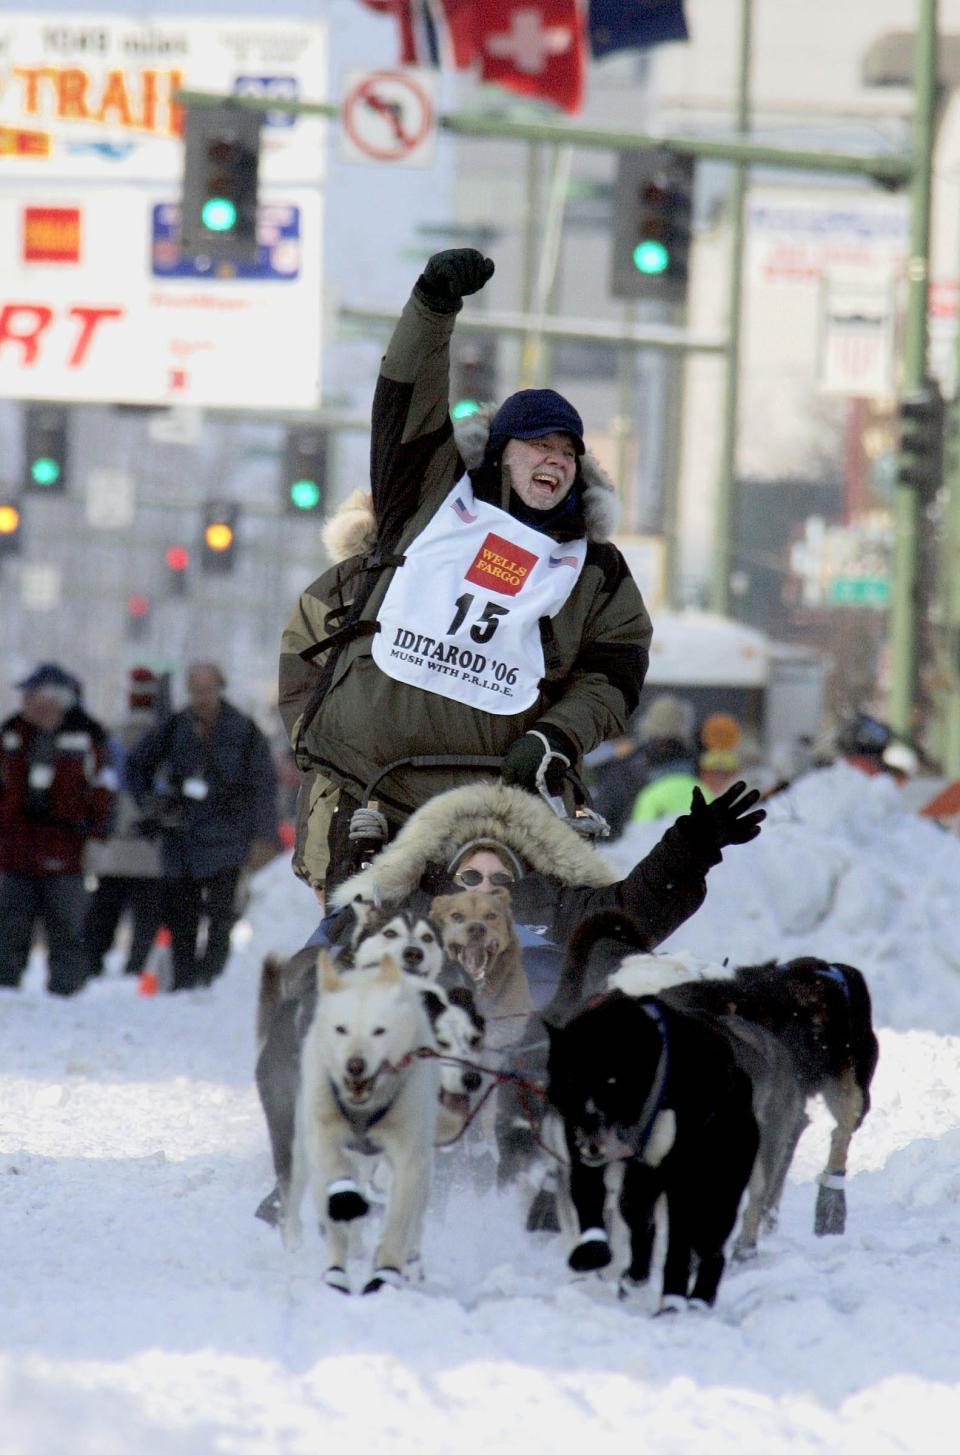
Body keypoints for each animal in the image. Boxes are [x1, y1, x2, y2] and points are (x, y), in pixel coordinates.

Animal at [283, 954, 436, 1297]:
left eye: (379, 1031)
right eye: (341, 1029)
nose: (355, 1065)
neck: (364, 1109)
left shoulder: (408, 1159)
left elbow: (397, 1226)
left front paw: (386, 1274)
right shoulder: (323, 1134)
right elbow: (337, 1189)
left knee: (414, 1219)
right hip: (303, 1154)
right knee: (304, 1196)